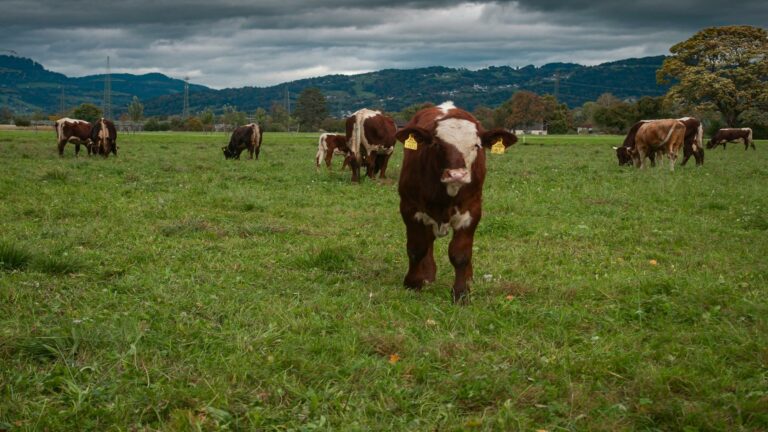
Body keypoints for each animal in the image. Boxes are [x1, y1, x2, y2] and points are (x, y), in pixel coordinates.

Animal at [396, 101, 516, 304]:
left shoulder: (472, 211)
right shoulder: (410, 208)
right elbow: (417, 248)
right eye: (436, 144)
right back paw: (428, 274)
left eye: (476, 145)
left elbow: (461, 254)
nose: (457, 175)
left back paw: (468, 277)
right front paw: (413, 283)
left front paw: (461, 292)